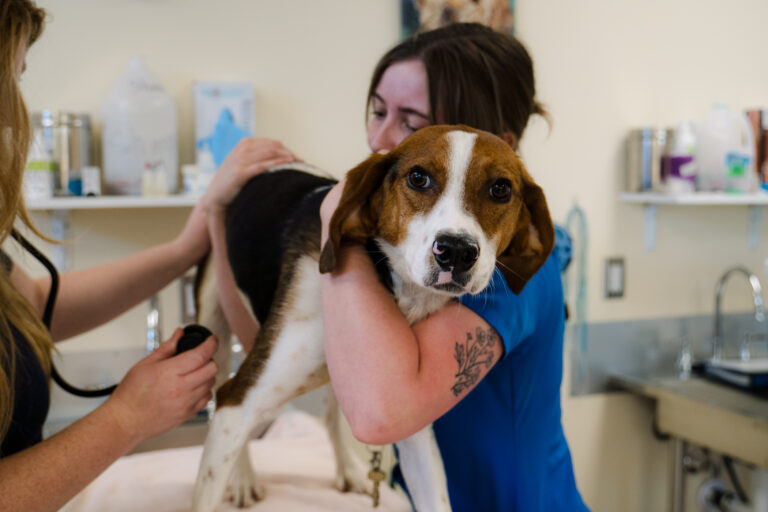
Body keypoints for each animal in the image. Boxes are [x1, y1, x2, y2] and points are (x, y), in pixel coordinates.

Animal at [191, 125, 552, 512]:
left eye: (501, 189)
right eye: (418, 177)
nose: (456, 252)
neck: (391, 286)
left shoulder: (408, 420)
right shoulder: (239, 403)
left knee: (330, 411)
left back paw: (347, 468)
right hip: (213, 329)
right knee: (224, 384)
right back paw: (244, 476)